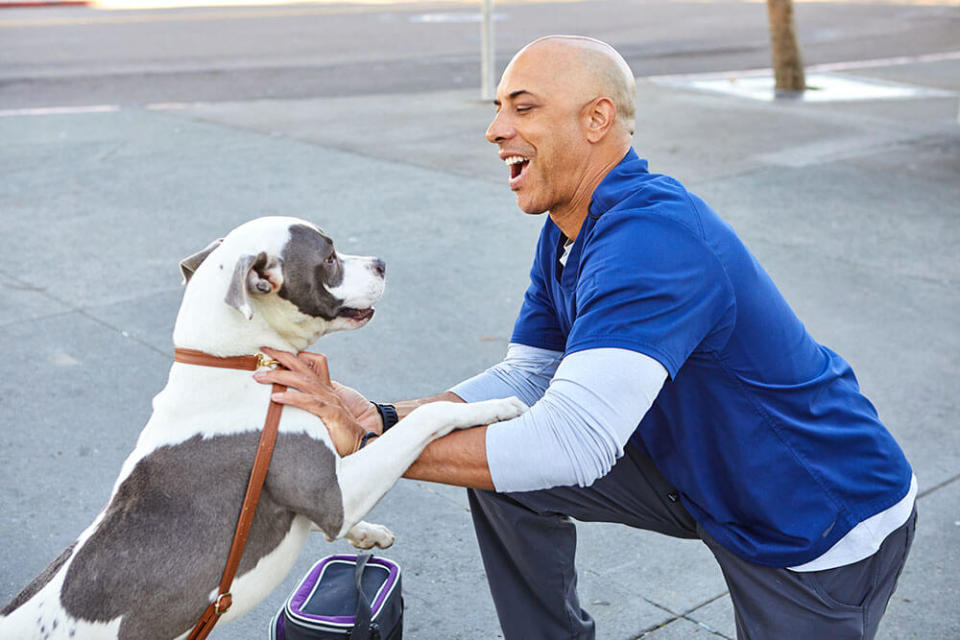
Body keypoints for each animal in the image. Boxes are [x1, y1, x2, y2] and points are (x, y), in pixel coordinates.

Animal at [0, 218, 524, 636]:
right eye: (329, 257)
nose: (381, 263)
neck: (239, 362)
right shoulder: (330, 496)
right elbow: (424, 421)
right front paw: (499, 406)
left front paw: (368, 534)